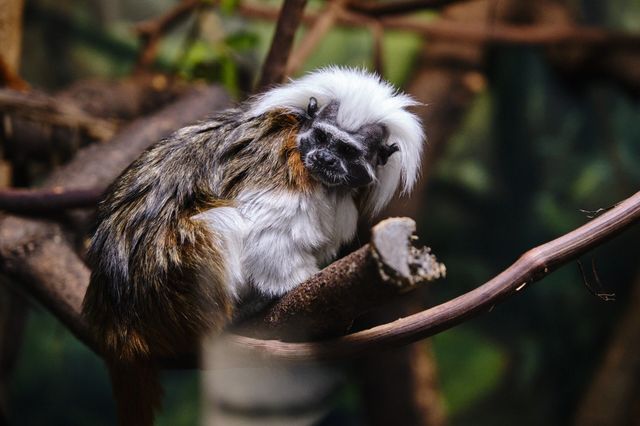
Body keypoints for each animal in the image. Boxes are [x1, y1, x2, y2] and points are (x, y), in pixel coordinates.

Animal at [82, 66, 428, 422]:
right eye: (322, 138)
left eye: (347, 151)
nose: (325, 159)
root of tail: (117, 324)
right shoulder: (283, 164)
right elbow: (265, 230)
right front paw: (297, 283)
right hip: (171, 283)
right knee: (223, 222)